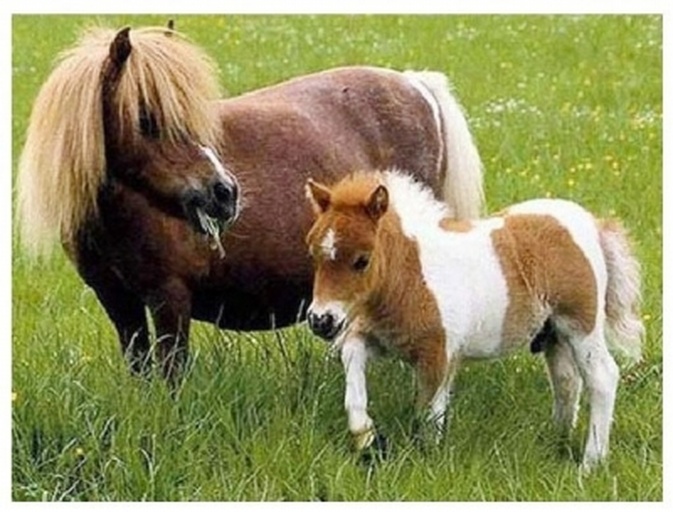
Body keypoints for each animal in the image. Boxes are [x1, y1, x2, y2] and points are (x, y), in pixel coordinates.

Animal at [16, 25, 484, 384]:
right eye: (147, 119)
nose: (224, 192)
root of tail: (416, 85)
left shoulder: (169, 297)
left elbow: (171, 374)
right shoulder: (118, 301)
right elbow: (141, 368)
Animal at [305, 170, 644, 470]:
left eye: (362, 260)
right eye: (315, 256)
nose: (321, 320)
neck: (412, 277)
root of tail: (592, 224)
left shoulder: (439, 354)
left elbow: (428, 413)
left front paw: (426, 462)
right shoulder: (377, 339)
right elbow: (353, 365)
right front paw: (366, 437)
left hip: (581, 325)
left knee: (602, 377)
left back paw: (590, 463)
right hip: (554, 334)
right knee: (566, 382)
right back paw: (556, 442)